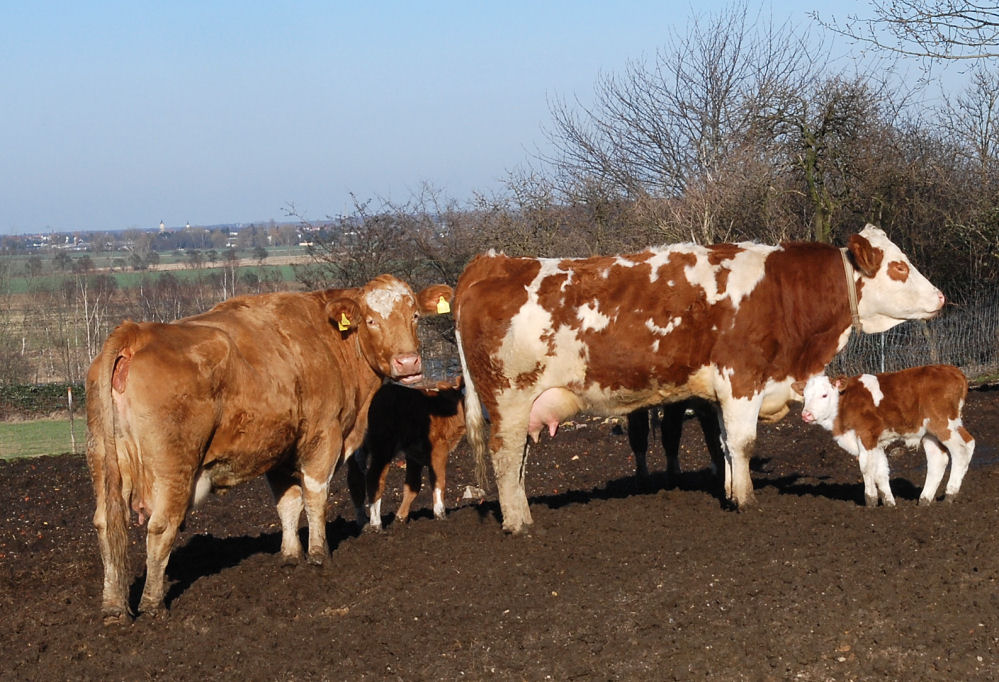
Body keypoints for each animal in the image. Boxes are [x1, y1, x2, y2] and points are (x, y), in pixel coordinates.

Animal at [86, 272, 454, 620]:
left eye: (415, 316)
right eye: (371, 320)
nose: (408, 363)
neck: (328, 339)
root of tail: (138, 331)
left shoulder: (280, 450)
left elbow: (288, 504)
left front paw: (291, 556)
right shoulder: (323, 436)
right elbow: (315, 496)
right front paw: (319, 555)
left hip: (105, 462)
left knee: (107, 524)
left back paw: (114, 607)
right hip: (173, 469)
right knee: (161, 527)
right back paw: (152, 604)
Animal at [346, 374, 466, 528]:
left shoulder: (414, 455)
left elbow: (413, 487)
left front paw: (400, 518)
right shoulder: (439, 450)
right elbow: (439, 482)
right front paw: (440, 515)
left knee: (355, 479)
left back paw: (362, 521)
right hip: (383, 447)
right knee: (374, 479)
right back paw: (376, 524)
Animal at [454, 224, 944, 532]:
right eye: (899, 267)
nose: (940, 297)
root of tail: (493, 263)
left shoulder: (723, 392)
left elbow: (724, 444)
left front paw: (728, 492)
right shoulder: (741, 378)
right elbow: (742, 443)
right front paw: (746, 500)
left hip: (523, 407)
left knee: (518, 460)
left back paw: (523, 514)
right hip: (509, 399)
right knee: (504, 457)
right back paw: (517, 525)